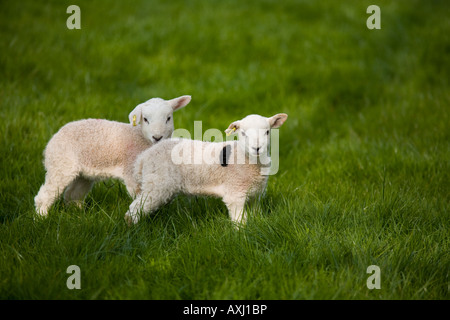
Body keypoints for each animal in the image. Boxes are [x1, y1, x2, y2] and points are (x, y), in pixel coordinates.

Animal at [33, 94, 192, 216]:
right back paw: (41, 217)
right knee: (46, 194)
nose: (157, 137)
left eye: (168, 118)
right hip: (61, 164)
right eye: (145, 119)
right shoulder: (131, 172)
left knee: (73, 194)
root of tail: (52, 139)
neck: (140, 137)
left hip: (82, 173)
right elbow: (141, 198)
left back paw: (78, 215)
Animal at [124, 112, 288, 225]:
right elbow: (240, 221)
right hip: (157, 183)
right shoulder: (235, 192)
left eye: (267, 132)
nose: (257, 148)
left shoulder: (256, 194)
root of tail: (143, 157)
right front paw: (242, 235)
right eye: (243, 133)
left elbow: (255, 214)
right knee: (136, 208)